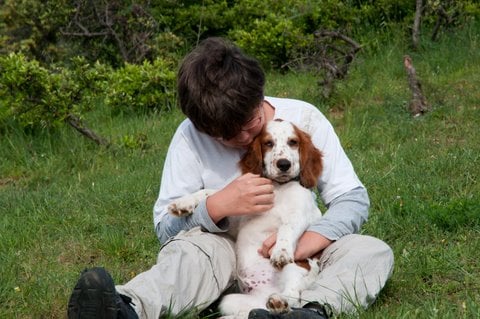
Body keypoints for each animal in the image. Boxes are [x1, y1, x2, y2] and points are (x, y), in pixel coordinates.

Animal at [168, 119, 322, 318]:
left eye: (293, 142)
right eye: (268, 143)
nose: (284, 164)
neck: (278, 187)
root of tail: (266, 294)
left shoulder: (301, 214)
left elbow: (286, 228)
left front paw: (280, 252)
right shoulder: (239, 212)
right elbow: (211, 194)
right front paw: (182, 203)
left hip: (296, 269)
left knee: (293, 296)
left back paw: (280, 301)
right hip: (229, 301)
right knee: (248, 311)